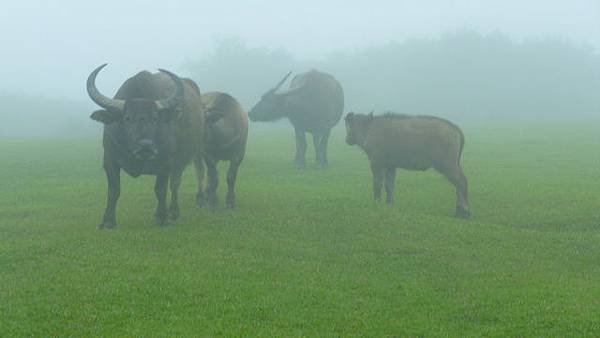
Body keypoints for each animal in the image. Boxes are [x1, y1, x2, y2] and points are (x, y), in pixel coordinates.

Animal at [85, 63, 205, 228]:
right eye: (127, 118)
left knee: (176, 182)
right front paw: (108, 221)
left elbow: (160, 189)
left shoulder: (166, 162)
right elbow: (114, 190)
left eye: (154, 118)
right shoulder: (109, 160)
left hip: (186, 157)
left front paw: (162, 217)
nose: (146, 146)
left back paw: (173, 211)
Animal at [344, 112, 472, 218]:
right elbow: (389, 185)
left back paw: (463, 212)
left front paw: (377, 202)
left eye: (348, 125)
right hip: (454, 164)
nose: (346, 140)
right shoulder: (391, 166)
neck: (369, 126)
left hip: (447, 165)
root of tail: (455, 128)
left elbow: (377, 184)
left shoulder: (377, 163)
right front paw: (389, 203)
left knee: (461, 182)